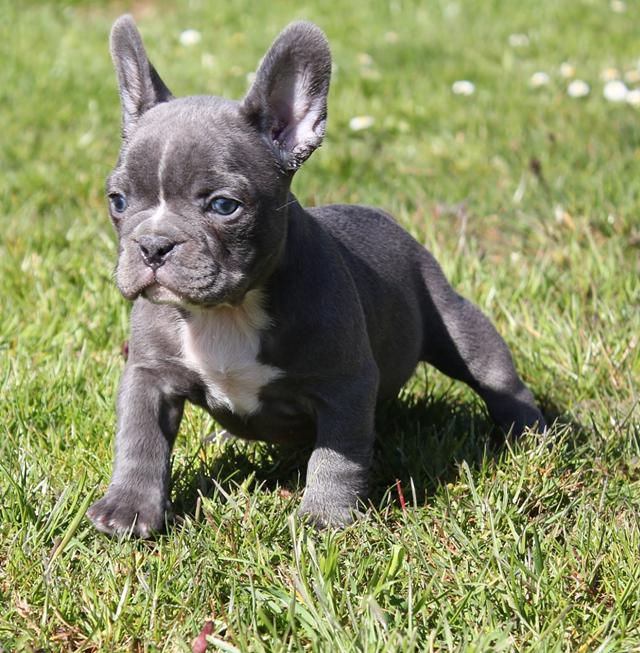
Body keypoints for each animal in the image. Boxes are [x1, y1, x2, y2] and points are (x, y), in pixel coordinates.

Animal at [87, 16, 544, 536]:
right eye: (118, 200)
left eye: (224, 206)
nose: (153, 245)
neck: (228, 311)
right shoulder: (149, 376)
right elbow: (139, 441)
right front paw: (128, 508)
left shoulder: (344, 384)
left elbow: (336, 456)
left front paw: (324, 518)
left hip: (455, 319)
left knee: (495, 375)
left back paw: (531, 434)